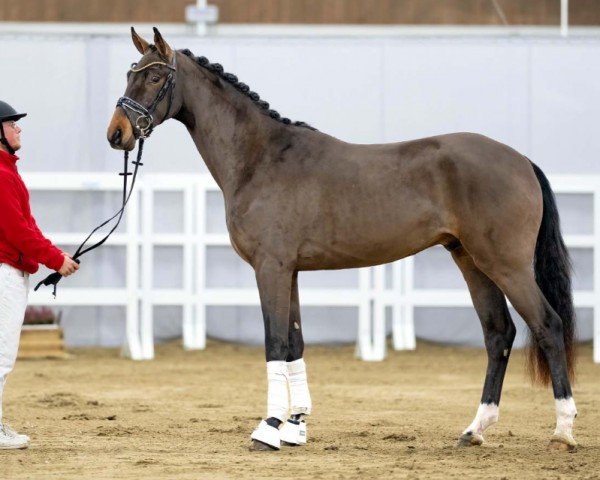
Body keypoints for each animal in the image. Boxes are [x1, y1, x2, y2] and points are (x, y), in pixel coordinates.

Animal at [106, 28, 576, 452]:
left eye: (154, 77)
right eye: (129, 73)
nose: (116, 134)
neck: (261, 158)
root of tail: (520, 160)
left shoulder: (271, 267)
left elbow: (275, 342)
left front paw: (268, 429)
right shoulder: (290, 271)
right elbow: (294, 343)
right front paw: (295, 427)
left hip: (505, 264)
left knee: (548, 326)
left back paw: (563, 430)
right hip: (471, 261)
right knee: (498, 333)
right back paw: (475, 430)